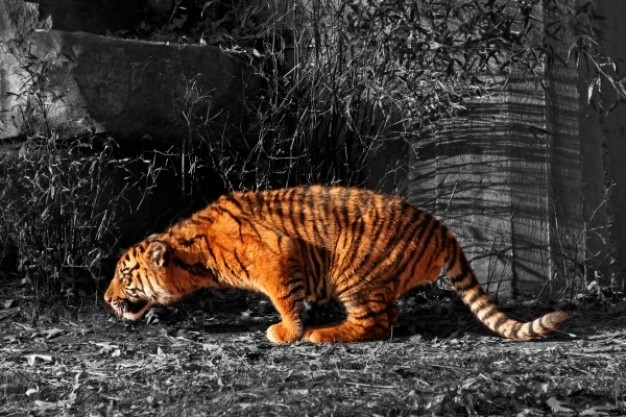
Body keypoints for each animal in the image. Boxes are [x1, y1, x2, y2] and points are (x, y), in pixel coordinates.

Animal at [103, 184, 572, 342]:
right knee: (389, 316)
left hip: (355, 272)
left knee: (375, 324)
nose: (106, 298)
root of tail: (442, 228)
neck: (194, 252)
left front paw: (288, 332)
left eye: (125, 275)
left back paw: (323, 335)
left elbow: (286, 300)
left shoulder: (279, 255)